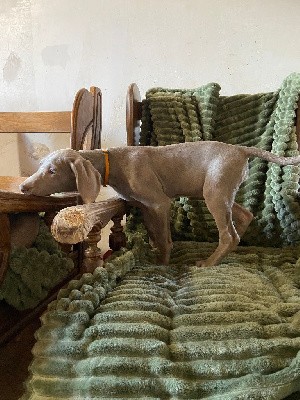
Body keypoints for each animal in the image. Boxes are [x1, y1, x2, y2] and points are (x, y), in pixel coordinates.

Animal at [19, 142, 300, 268]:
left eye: (52, 171)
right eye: (42, 167)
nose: (23, 187)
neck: (113, 161)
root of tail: (241, 150)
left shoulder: (159, 203)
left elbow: (164, 239)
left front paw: (162, 264)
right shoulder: (145, 207)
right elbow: (155, 233)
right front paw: (156, 251)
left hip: (214, 192)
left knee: (228, 234)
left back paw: (210, 262)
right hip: (218, 191)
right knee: (244, 215)